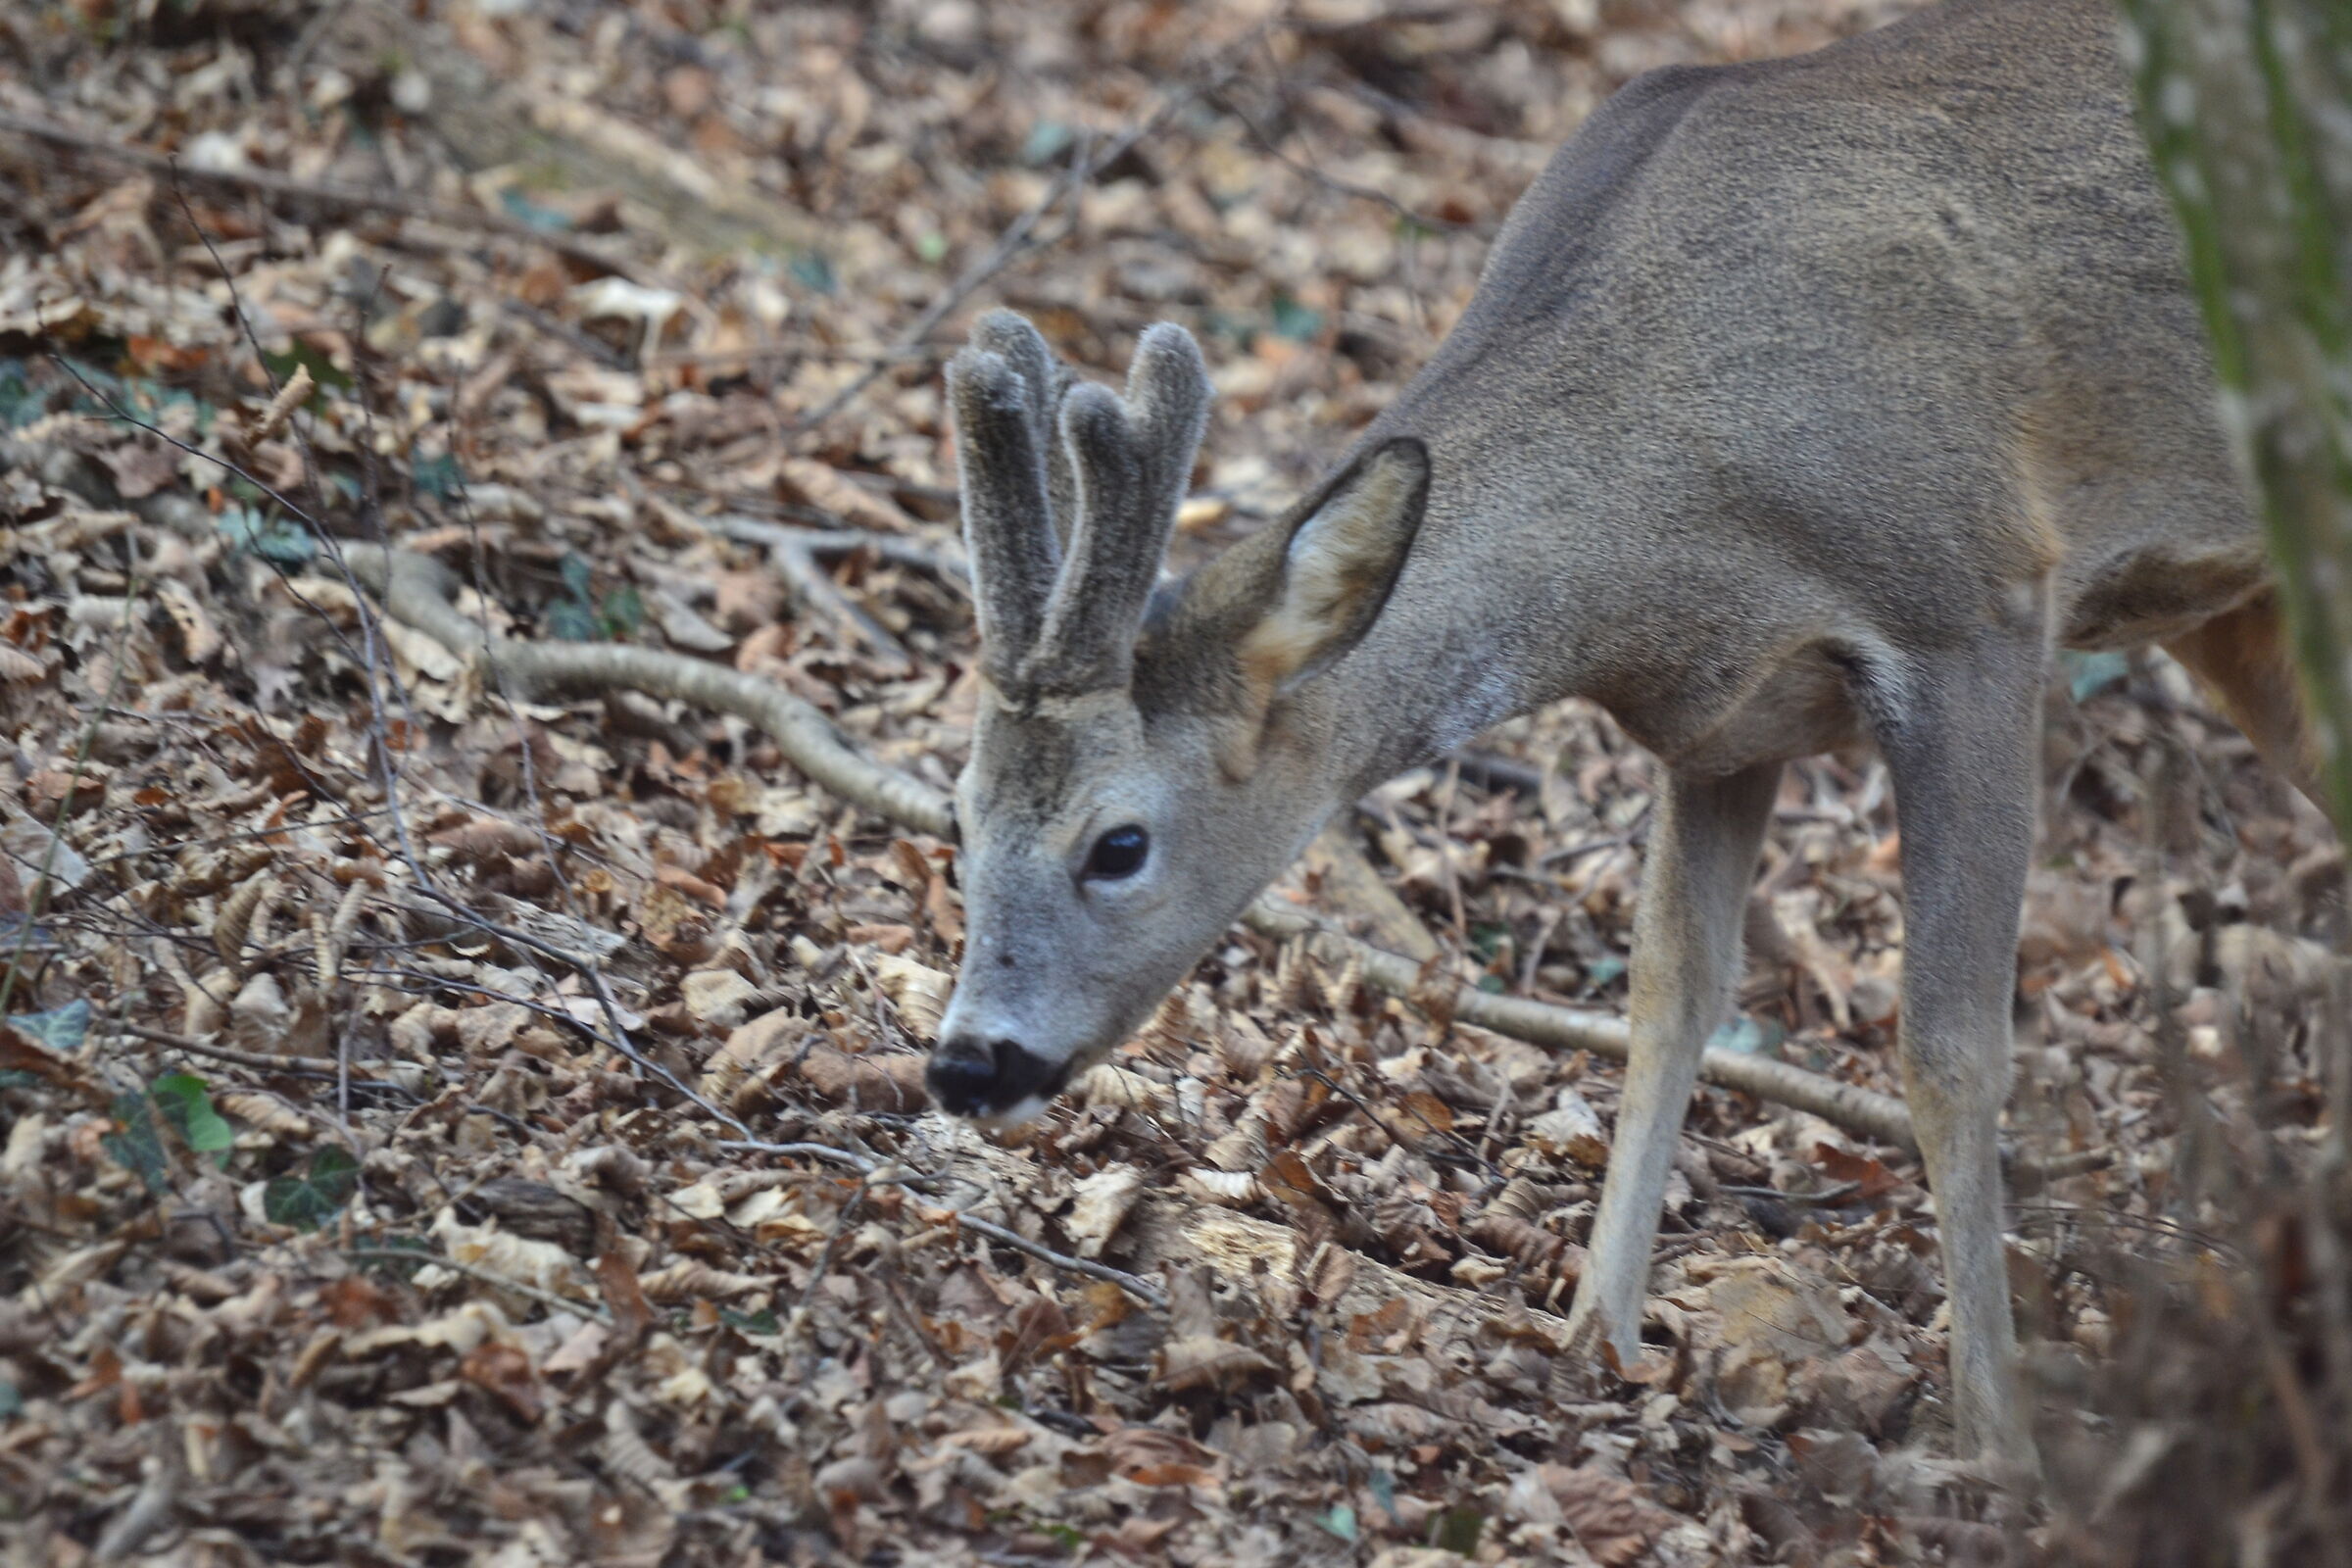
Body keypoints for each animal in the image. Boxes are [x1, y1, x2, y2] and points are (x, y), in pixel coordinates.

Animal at [923, 0, 2319, 1465]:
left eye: (1117, 843)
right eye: (959, 810)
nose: (968, 1061)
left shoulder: (1975, 608)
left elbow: (1951, 1049)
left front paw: (2000, 1441)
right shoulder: (1719, 721)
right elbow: (1671, 993)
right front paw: (1597, 1332)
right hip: (2241, 604)